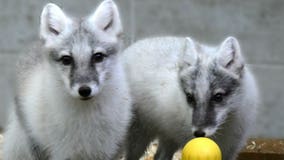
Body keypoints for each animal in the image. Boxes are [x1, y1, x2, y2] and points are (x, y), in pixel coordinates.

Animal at [3, 0, 132, 159]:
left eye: (98, 57)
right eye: (66, 60)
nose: (84, 90)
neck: (85, 121)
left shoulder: (109, 152)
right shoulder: (64, 153)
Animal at [121, 36, 258, 160]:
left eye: (218, 97)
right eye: (190, 97)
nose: (199, 133)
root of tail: (130, 48)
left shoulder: (230, 151)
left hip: (168, 139)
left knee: (159, 156)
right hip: (140, 136)